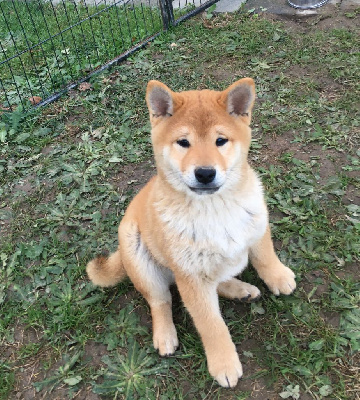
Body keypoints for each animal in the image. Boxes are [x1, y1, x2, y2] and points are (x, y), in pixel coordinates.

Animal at [86, 78, 296, 388]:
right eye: (183, 142)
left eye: (220, 141)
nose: (205, 173)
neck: (215, 209)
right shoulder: (191, 276)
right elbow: (211, 324)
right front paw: (224, 362)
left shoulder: (256, 226)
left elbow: (265, 256)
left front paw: (278, 277)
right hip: (139, 255)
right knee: (160, 300)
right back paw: (165, 334)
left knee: (216, 281)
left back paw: (241, 290)